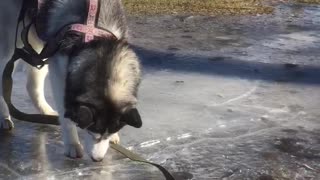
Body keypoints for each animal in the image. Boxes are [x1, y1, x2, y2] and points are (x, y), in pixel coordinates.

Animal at [0, 0, 141, 161]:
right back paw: (4, 116)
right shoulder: (60, 72)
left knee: (32, 84)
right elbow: (66, 114)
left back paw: (45, 111)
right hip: (9, 41)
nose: (97, 159)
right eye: (92, 129)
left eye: (108, 132)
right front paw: (72, 144)